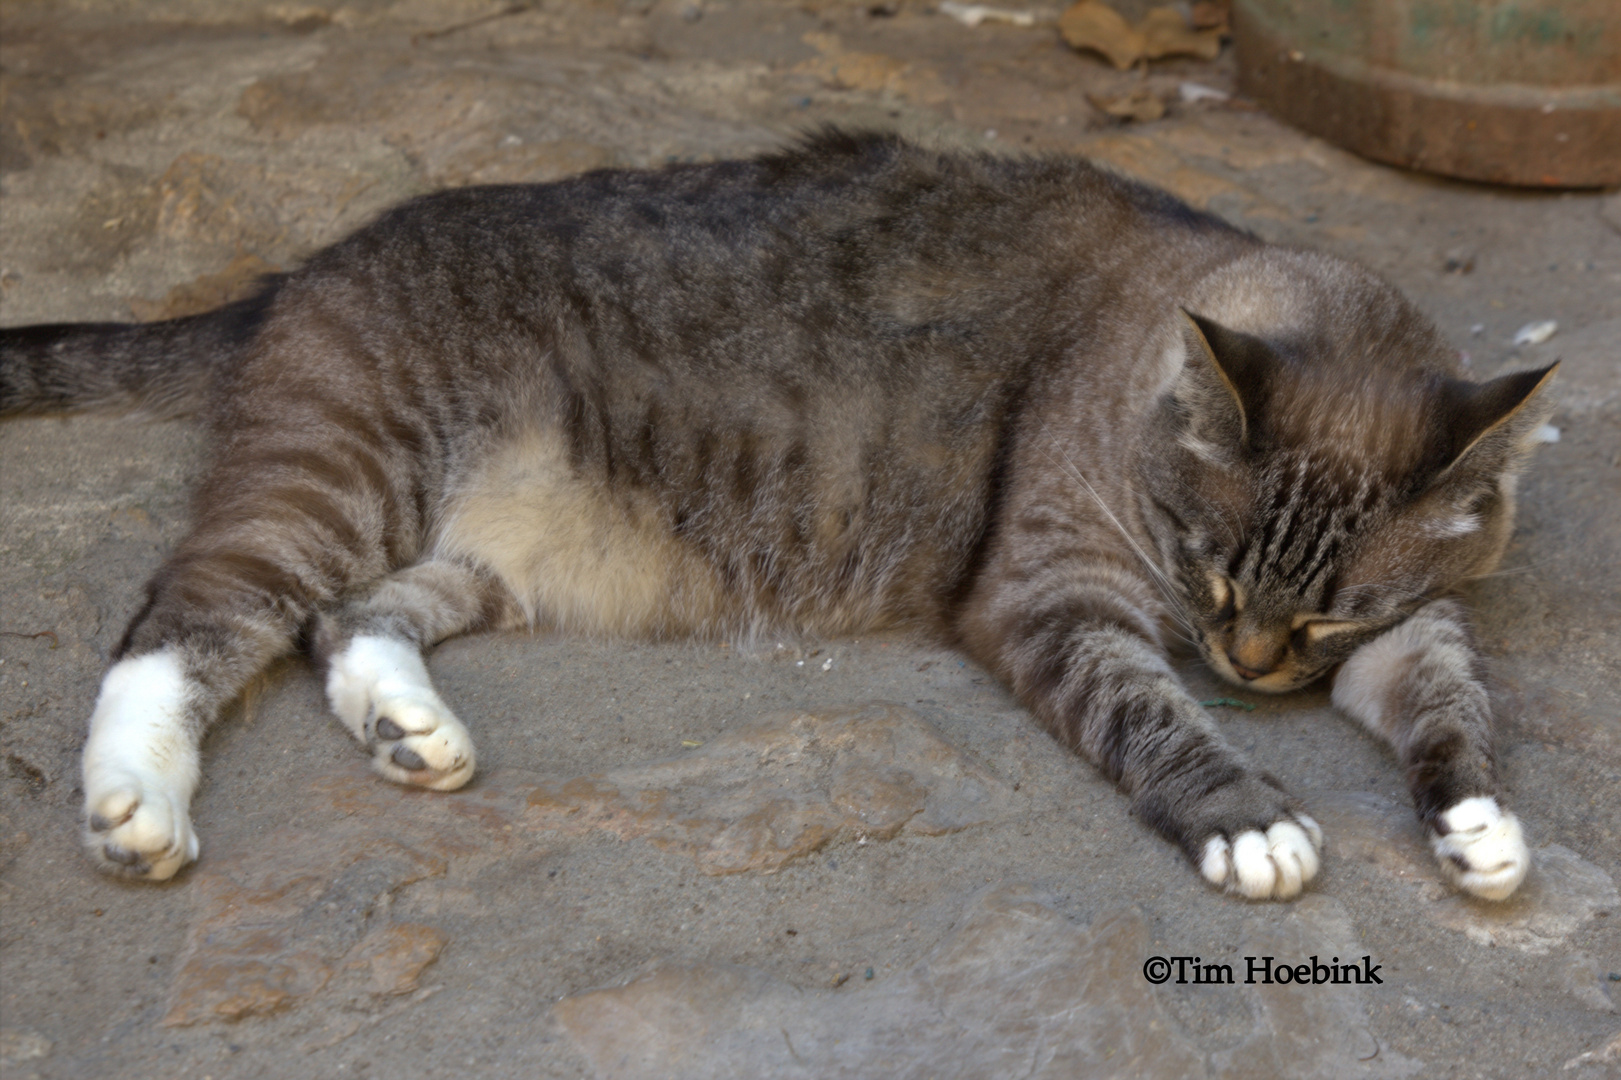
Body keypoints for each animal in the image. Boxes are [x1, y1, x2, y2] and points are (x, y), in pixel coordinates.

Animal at [0, 130, 1549, 895]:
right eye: (1210, 577)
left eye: (1326, 618)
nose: (1251, 667)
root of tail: (293, 273)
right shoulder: (1055, 596)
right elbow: (1146, 713)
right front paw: (1245, 815)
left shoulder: (1405, 629)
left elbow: (1451, 697)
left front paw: (1475, 823)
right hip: (338, 477)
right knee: (184, 619)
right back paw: (134, 803)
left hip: (475, 556)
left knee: (349, 624)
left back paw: (409, 728)